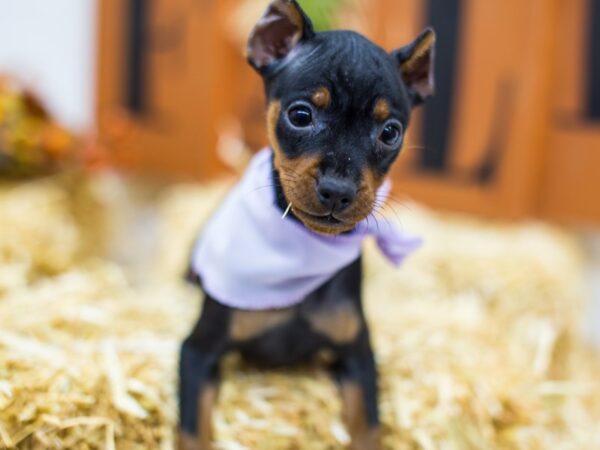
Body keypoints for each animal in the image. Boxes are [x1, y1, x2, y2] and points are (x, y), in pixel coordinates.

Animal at [178, 1, 436, 448]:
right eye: (300, 115)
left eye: (390, 133)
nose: (337, 191)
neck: (300, 247)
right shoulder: (196, 352)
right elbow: (193, 433)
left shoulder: (357, 356)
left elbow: (368, 427)